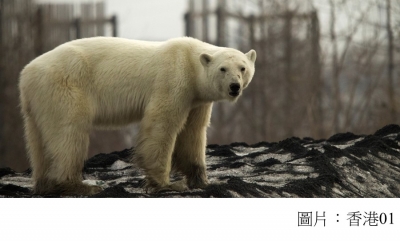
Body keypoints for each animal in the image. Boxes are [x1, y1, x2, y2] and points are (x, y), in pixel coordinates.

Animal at [18, 37, 256, 196]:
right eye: (223, 69)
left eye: (243, 68)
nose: (234, 87)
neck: (189, 60)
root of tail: (26, 73)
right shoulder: (173, 80)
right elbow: (162, 124)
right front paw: (167, 184)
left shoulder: (197, 100)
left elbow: (193, 133)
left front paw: (202, 180)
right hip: (65, 86)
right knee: (68, 133)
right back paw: (80, 185)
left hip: (38, 100)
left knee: (38, 140)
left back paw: (45, 185)